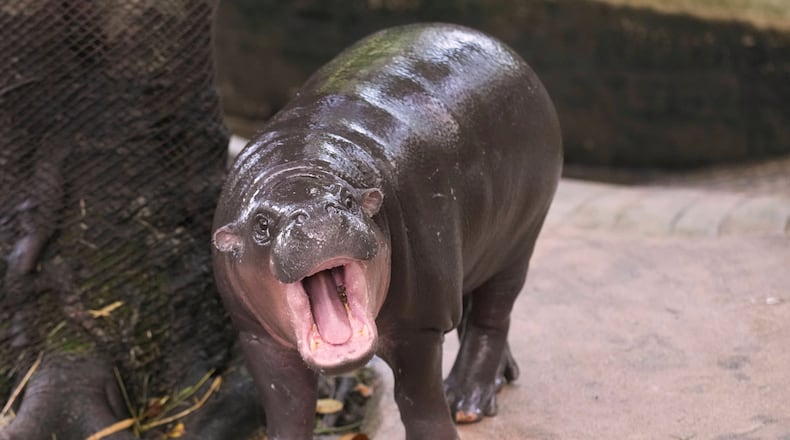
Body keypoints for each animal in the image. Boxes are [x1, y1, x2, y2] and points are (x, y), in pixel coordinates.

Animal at [212, 23, 562, 439]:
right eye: (261, 225)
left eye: (347, 199)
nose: (314, 216)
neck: (298, 163)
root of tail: (502, 48)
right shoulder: (257, 338)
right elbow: (288, 408)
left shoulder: (420, 326)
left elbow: (418, 402)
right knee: (473, 306)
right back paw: (498, 379)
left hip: (520, 239)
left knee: (491, 317)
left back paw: (466, 402)